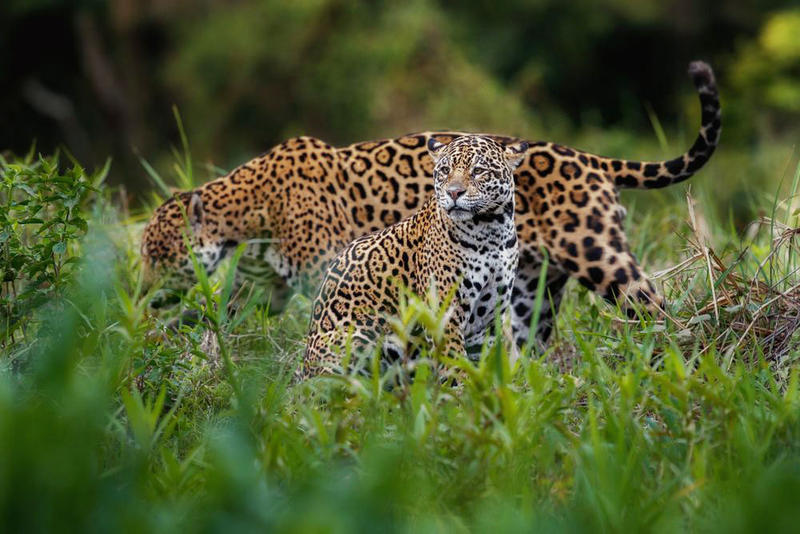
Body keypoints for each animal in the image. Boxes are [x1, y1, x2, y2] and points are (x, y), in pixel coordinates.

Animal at [141, 61, 720, 349]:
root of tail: (589, 157)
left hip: (600, 256)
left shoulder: (325, 272)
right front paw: (165, 340)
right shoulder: (264, 286)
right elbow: (216, 315)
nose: (142, 291)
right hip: (530, 290)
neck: (249, 216)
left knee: (657, 308)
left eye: (159, 255)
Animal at [302, 135, 528, 377]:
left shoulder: (489, 318)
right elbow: (455, 362)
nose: (454, 192)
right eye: (445, 170)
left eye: (478, 171)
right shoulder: (443, 312)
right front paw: (460, 385)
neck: (490, 232)